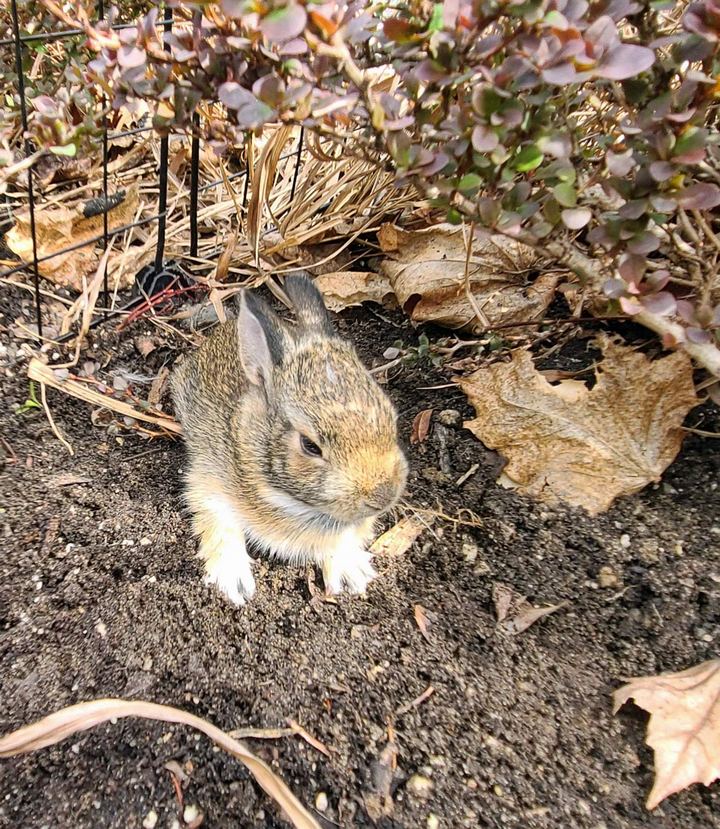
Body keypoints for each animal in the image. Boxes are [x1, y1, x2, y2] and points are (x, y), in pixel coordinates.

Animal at [170, 273, 408, 606]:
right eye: (310, 446)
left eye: (391, 417)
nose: (383, 497)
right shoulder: (209, 483)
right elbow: (220, 526)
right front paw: (234, 583)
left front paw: (352, 573)